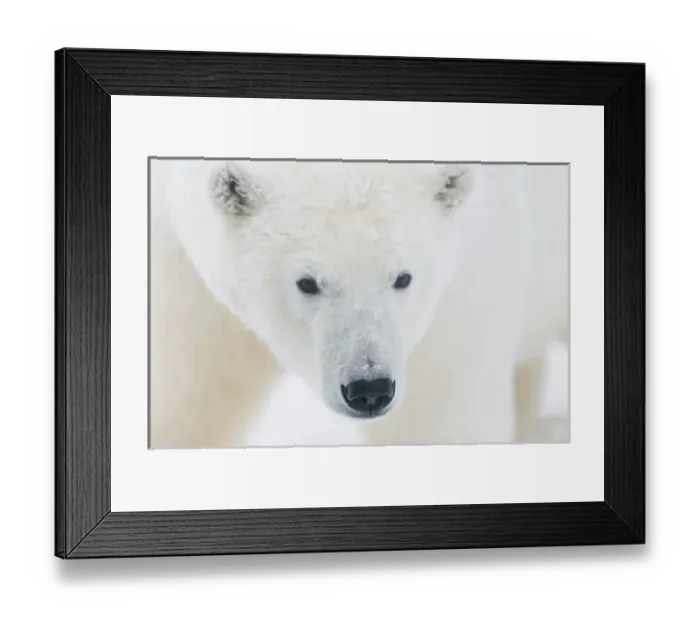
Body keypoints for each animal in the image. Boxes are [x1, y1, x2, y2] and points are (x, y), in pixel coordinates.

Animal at [148, 158, 569, 449]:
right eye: (307, 282)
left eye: (403, 277)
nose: (369, 388)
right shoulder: (183, 281)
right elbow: (182, 399)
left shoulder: (457, 295)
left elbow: (436, 418)